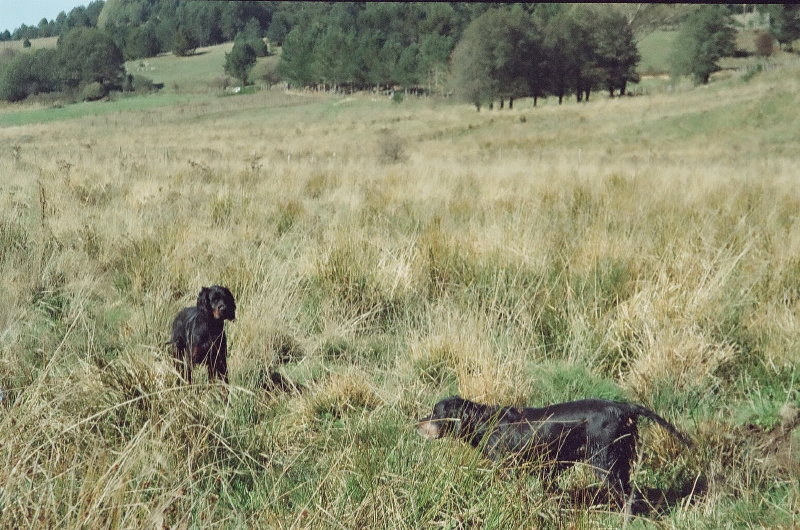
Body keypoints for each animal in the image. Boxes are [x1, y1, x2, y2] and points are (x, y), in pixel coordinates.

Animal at [416, 394, 692, 502]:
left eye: (435, 413)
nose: (416, 424)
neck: (485, 421)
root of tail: (622, 407)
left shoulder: (504, 467)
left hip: (606, 464)